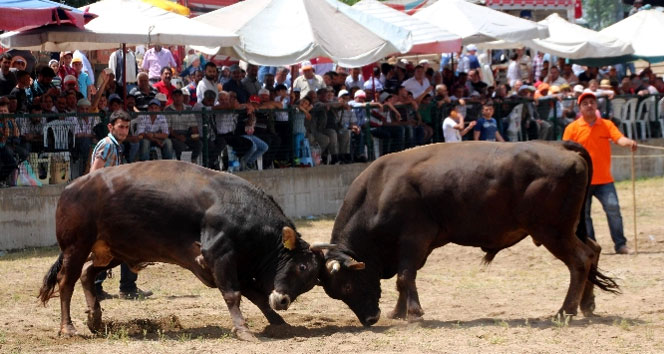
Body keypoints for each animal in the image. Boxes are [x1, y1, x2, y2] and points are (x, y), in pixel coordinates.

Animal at [39, 160, 324, 340]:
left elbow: (257, 296)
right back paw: (68, 328)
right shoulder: (218, 256)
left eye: (312, 280)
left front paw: (279, 322)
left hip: (113, 251)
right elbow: (234, 295)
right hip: (76, 246)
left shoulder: (233, 266)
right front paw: (244, 330)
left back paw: (95, 319)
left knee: (87, 274)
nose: (284, 301)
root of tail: (71, 189)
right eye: (301, 266)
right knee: (66, 282)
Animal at [320, 140, 620, 326]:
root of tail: (559, 145)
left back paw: (565, 311)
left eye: (347, 285)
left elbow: (405, 277)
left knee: (579, 260)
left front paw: (413, 313)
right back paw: (587, 305)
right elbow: (403, 280)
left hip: (552, 232)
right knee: (593, 251)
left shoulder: (413, 240)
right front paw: (399, 312)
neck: (380, 189)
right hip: (568, 230)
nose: (370, 320)